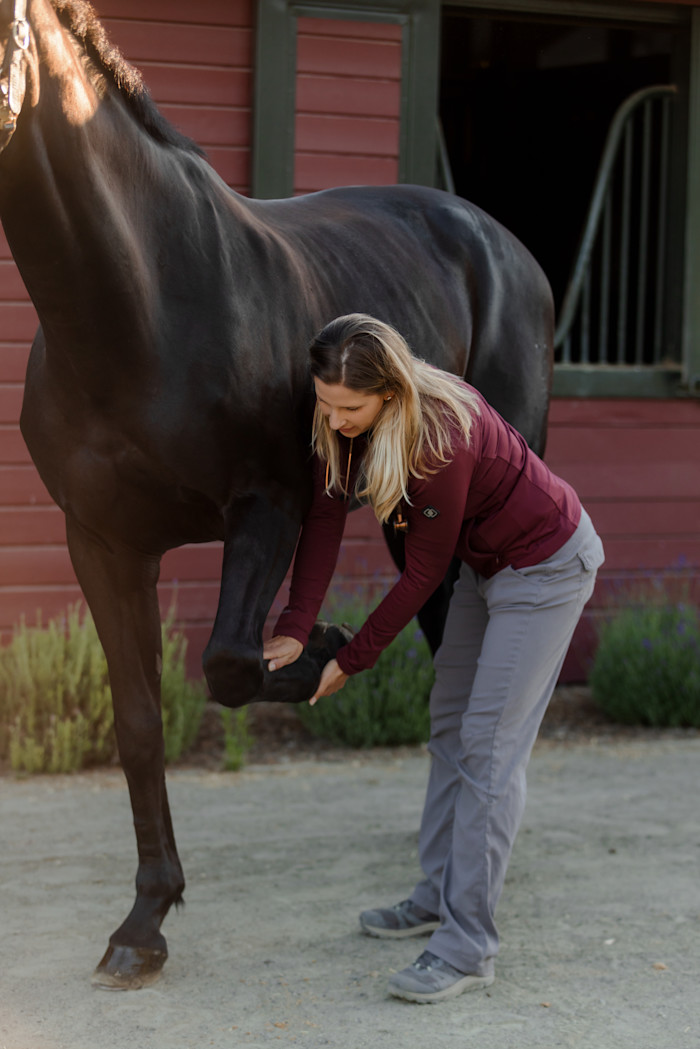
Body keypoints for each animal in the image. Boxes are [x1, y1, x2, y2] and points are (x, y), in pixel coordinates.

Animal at [0, 0, 554, 989]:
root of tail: (505, 247)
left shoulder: (267, 510)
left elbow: (227, 663)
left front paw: (322, 643)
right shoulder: (100, 542)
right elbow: (139, 721)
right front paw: (143, 922)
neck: (140, 302)